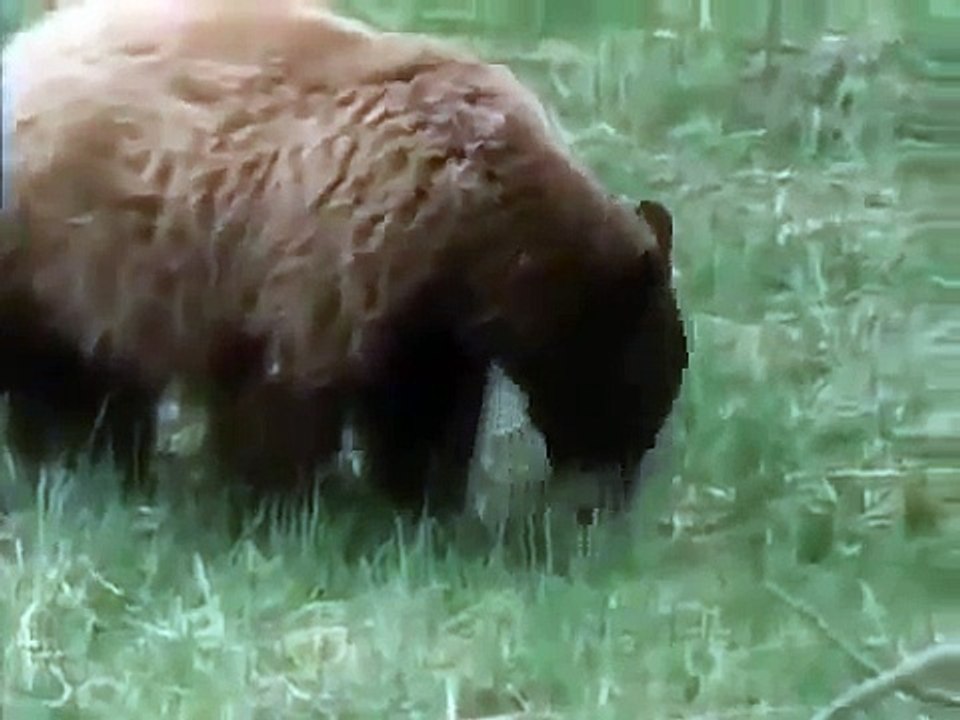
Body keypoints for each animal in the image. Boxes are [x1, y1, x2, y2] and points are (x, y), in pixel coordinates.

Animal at [0, 0, 687, 516]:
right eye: (648, 391)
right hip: (54, 248)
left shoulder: (429, 307)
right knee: (55, 373)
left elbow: (427, 402)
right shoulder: (334, 256)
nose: (611, 501)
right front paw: (279, 505)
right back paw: (71, 461)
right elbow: (287, 393)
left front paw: (424, 503)